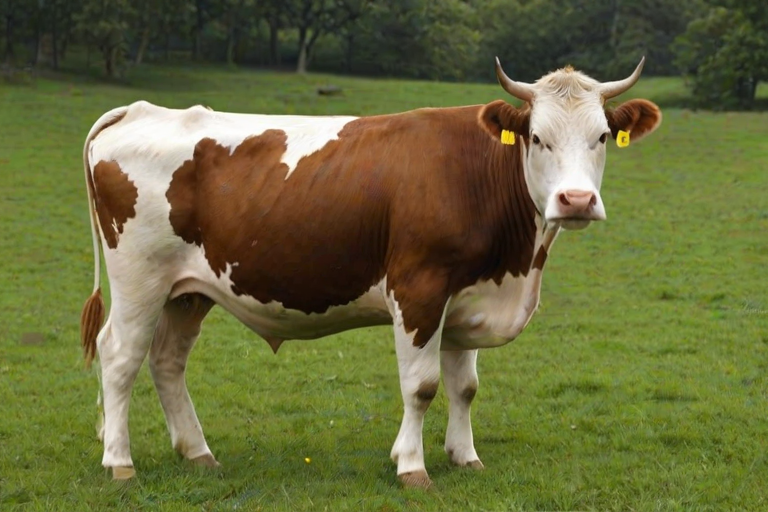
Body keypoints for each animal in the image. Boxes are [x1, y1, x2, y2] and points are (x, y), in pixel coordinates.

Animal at [80, 57, 661, 488]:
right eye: (537, 137)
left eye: (602, 136)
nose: (576, 201)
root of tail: (139, 110)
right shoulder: (419, 288)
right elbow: (422, 385)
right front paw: (412, 467)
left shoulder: (467, 298)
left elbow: (465, 386)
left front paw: (465, 457)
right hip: (139, 279)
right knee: (120, 355)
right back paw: (119, 463)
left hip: (187, 291)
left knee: (167, 361)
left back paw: (198, 453)